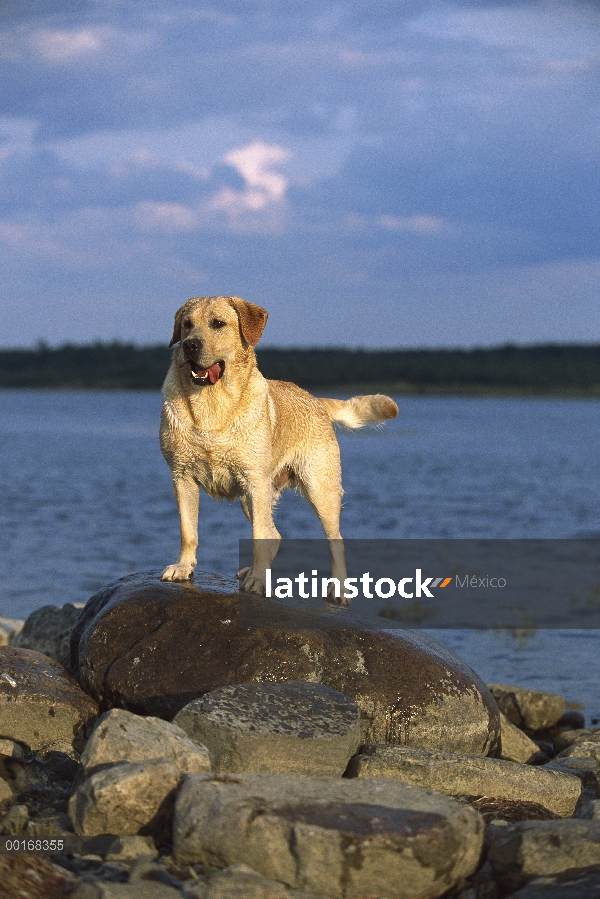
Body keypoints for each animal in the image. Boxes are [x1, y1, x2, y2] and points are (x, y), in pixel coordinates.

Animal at [159, 298, 398, 604]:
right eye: (187, 325)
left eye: (218, 324)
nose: (190, 345)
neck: (212, 407)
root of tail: (315, 399)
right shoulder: (182, 477)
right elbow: (188, 530)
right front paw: (183, 567)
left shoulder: (254, 482)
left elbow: (258, 537)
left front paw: (259, 582)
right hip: (251, 498)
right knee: (275, 533)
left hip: (318, 489)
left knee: (335, 541)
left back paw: (337, 589)